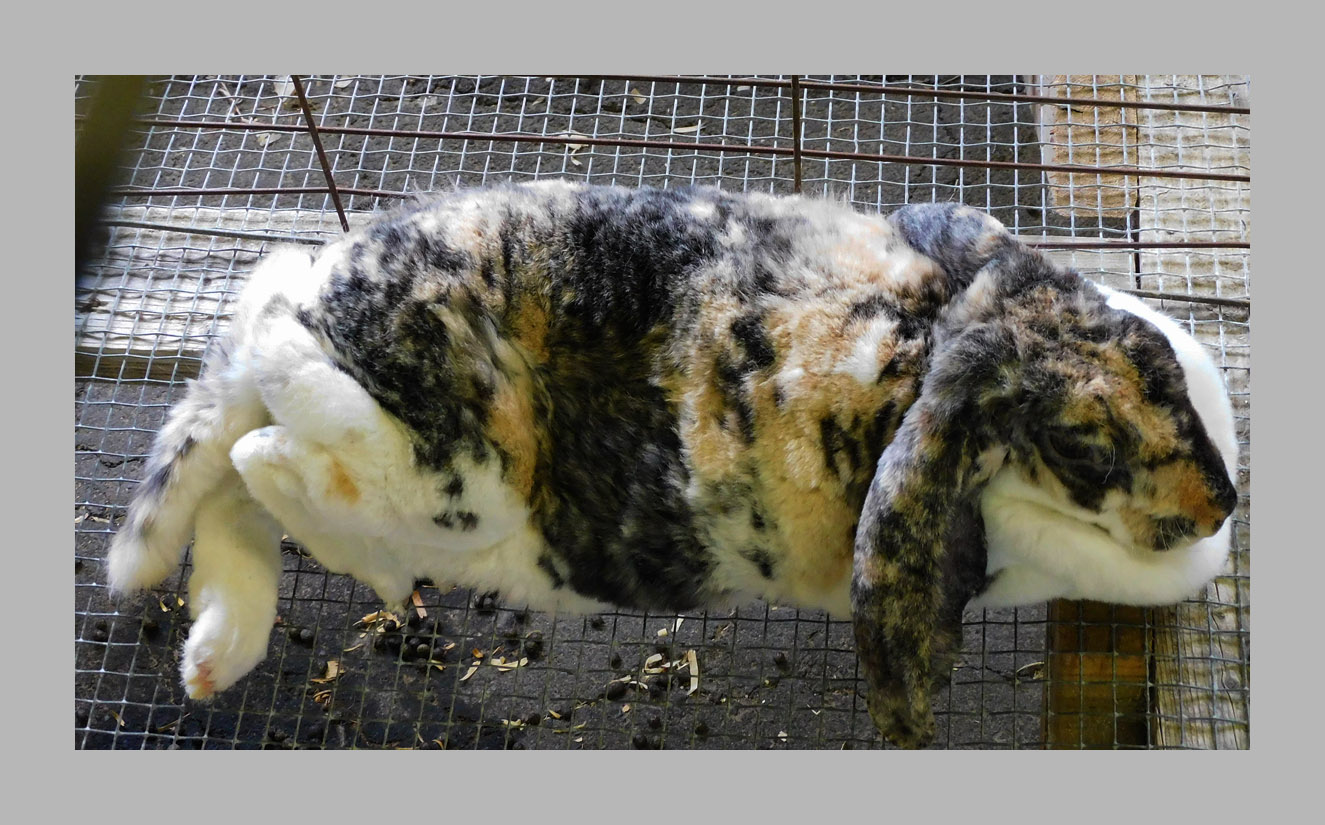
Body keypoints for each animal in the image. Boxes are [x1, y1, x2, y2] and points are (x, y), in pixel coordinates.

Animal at [105, 180, 1239, 748]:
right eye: (1086, 445)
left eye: (1160, 366)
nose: (1219, 503)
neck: (922, 349)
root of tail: (311, 292)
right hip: (449, 470)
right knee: (266, 449)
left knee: (240, 482)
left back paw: (212, 656)